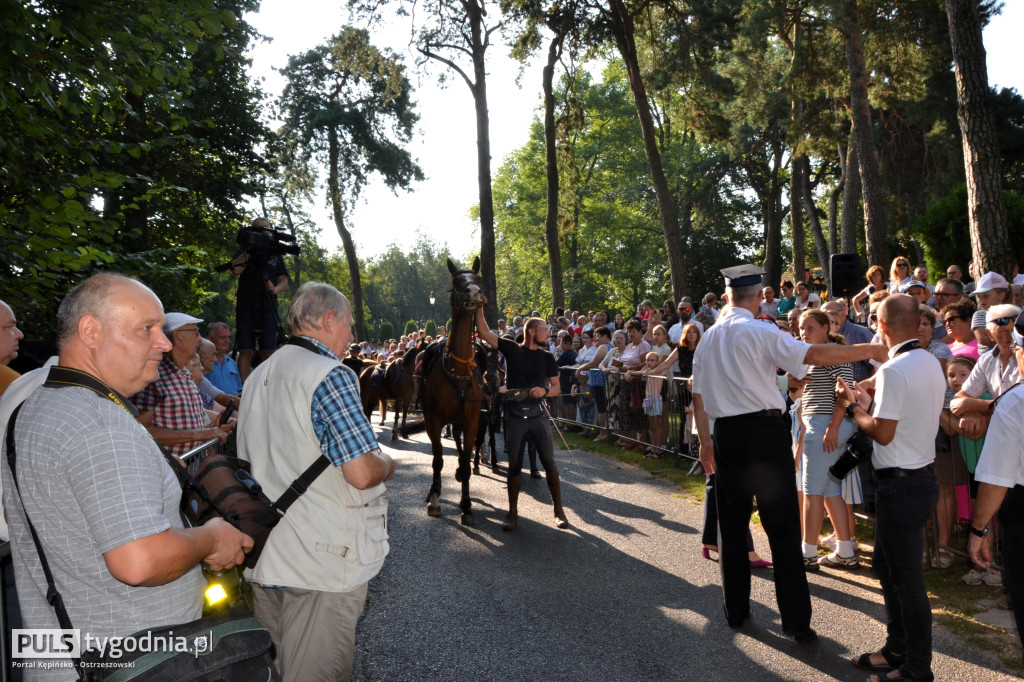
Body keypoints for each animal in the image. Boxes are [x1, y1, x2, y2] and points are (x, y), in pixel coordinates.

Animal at [413, 258, 485, 522]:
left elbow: (465, 458)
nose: (475, 293)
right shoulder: (433, 420)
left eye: (478, 278)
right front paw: (434, 499)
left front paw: (466, 505)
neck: (458, 367)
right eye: (457, 280)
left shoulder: (472, 420)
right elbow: (437, 460)